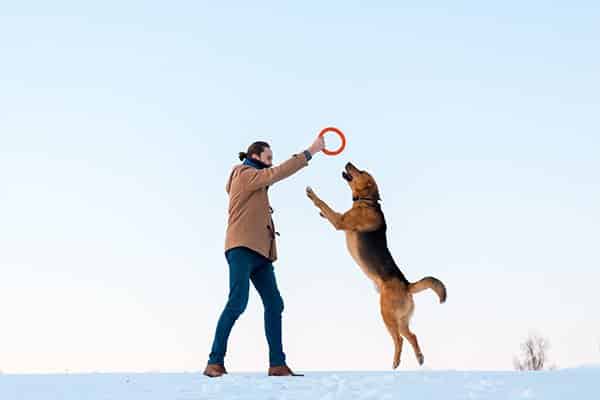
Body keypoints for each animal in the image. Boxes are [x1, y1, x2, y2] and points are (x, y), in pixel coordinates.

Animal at [308, 162, 442, 368]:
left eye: (361, 171)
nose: (348, 162)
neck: (367, 201)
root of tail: (407, 285)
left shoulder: (340, 222)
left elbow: (325, 204)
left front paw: (312, 195)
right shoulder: (341, 218)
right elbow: (330, 211)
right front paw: (322, 211)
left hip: (387, 315)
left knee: (399, 339)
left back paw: (396, 361)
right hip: (401, 319)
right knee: (412, 336)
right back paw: (419, 357)